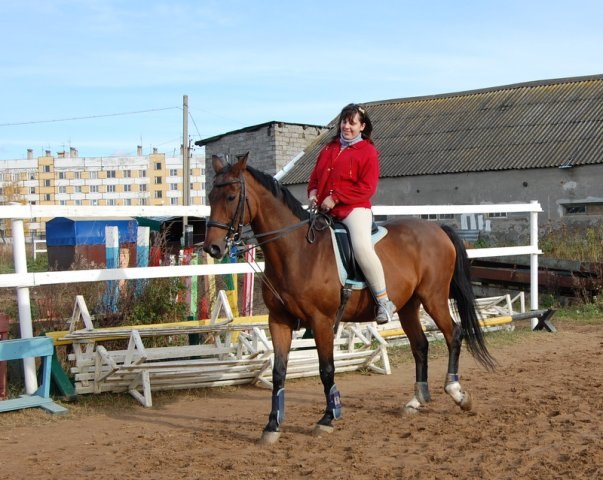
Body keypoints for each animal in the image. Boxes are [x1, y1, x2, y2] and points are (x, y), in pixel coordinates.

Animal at [203, 153, 496, 444]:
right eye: (209, 196)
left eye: (231, 196)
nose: (212, 247)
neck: (297, 251)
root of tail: (437, 227)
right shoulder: (279, 320)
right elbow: (278, 372)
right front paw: (272, 425)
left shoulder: (320, 321)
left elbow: (326, 369)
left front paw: (327, 418)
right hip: (408, 306)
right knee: (420, 345)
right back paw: (416, 401)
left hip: (433, 298)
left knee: (453, 333)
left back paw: (457, 392)